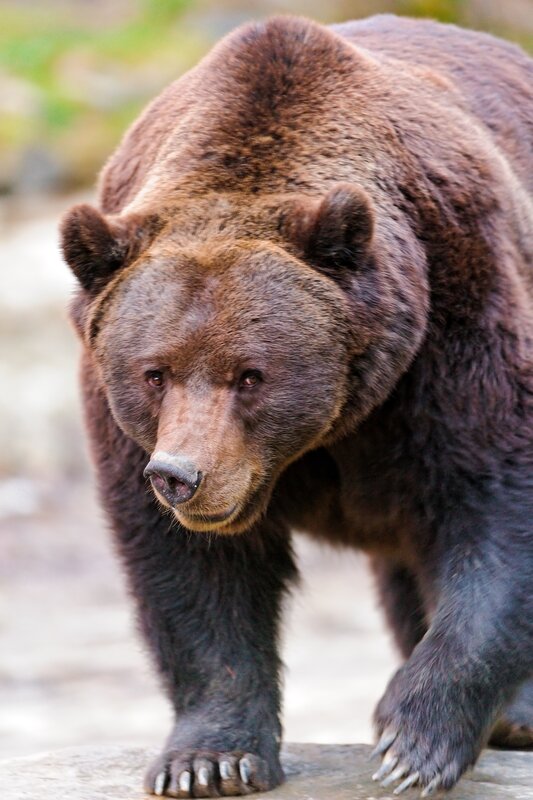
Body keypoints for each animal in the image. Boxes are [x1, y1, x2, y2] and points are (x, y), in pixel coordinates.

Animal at [60, 13, 533, 798]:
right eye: (154, 373)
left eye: (250, 375)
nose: (180, 475)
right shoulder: (123, 415)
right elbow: (192, 570)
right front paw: (209, 758)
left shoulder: (456, 312)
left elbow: (492, 494)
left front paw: (414, 740)